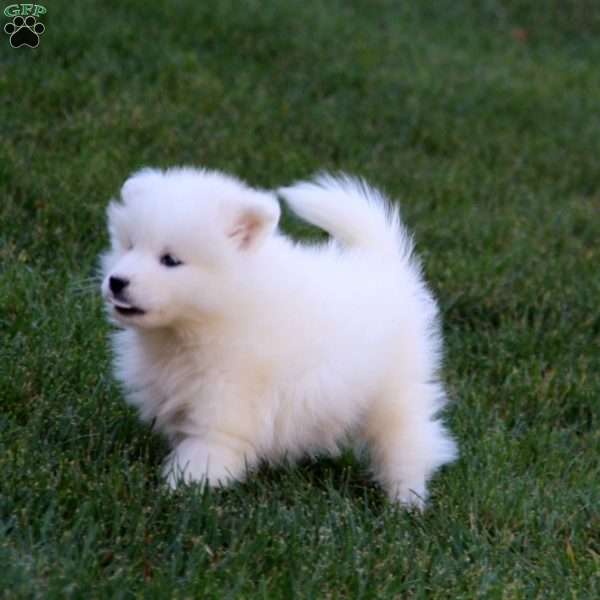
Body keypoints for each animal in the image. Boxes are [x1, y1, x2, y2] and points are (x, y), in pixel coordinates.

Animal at [101, 168, 458, 506]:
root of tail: (385, 265)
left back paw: (406, 501)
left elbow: (203, 453)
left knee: (407, 441)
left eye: (170, 260)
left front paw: (177, 492)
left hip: (395, 392)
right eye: (129, 246)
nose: (116, 281)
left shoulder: (225, 406)